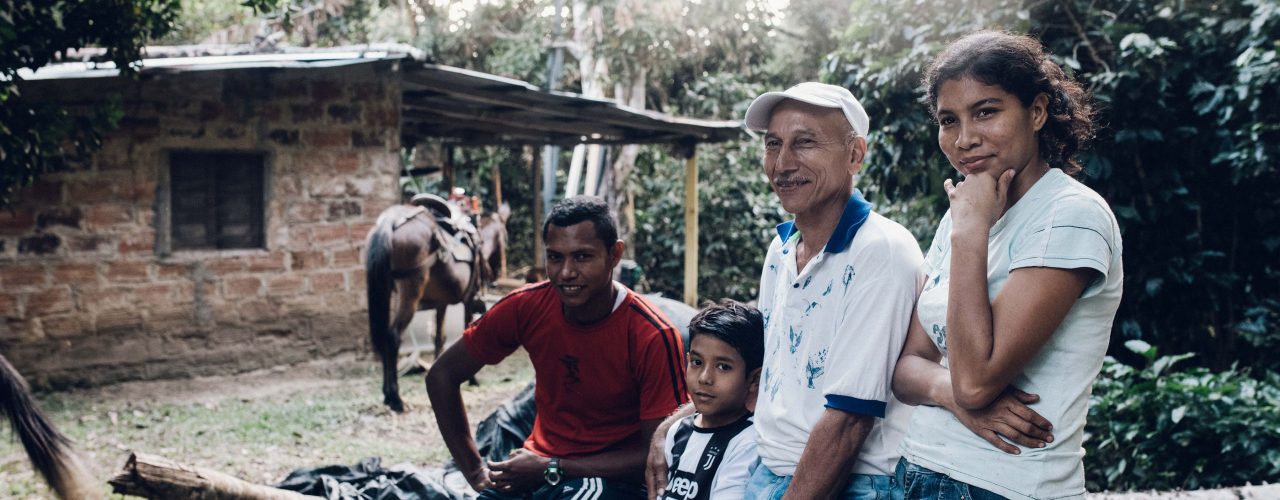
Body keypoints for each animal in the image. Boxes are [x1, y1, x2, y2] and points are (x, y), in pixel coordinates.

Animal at [366, 202, 504, 414]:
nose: (495, 276)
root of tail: (390, 223)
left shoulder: (441, 304)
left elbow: (439, 338)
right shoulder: (468, 300)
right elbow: (467, 330)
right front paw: (472, 379)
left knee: (383, 336)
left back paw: (387, 395)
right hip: (410, 292)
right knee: (393, 335)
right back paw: (395, 398)